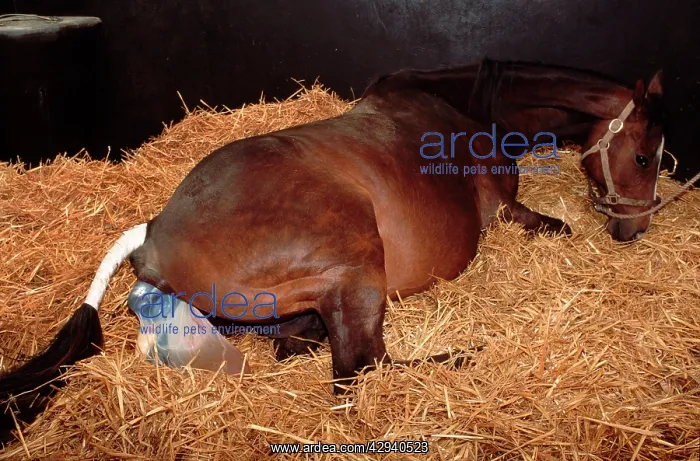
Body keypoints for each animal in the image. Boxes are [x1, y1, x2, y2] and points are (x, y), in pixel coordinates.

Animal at [0, 58, 666, 444]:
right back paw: (460, 357)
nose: (634, 229)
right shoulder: (505, 209)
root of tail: (152, 233)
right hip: (354, 267)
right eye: (643, 155)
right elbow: (549, 224)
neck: (469, 107)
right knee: (362, 365)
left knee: (305, 346)